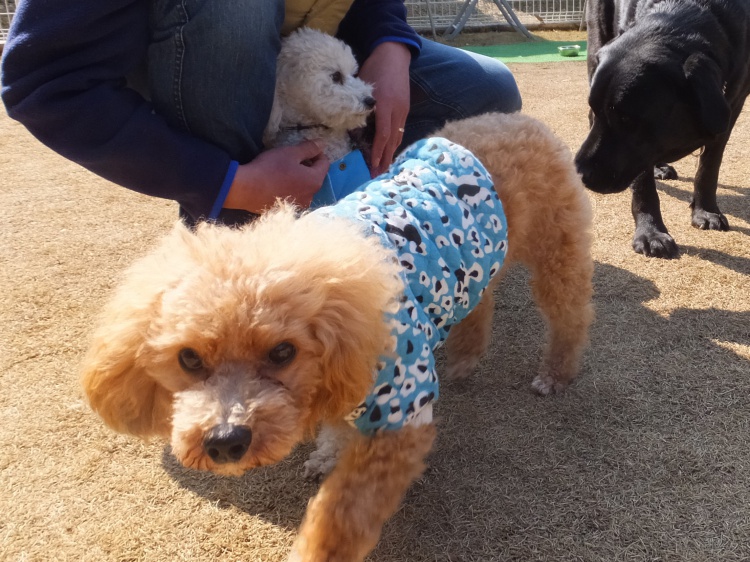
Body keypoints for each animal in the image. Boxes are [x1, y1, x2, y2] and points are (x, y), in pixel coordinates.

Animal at [575, 0, 750, 258]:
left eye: (626, 119)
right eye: (600, 111)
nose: (579, 172)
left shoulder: (733, 102)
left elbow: (709, 166)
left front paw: (705, 210)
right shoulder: (640, 150)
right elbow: (643, 183)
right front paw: (651, 233)